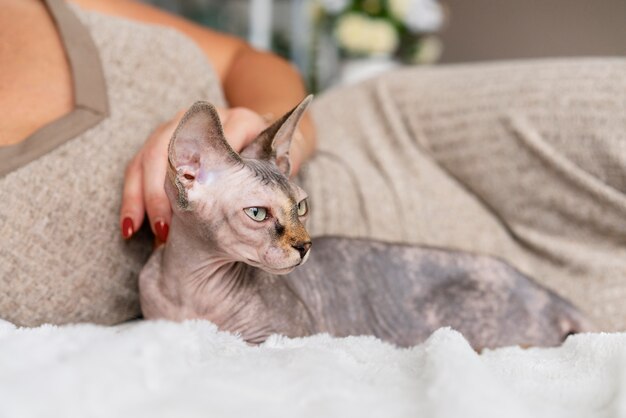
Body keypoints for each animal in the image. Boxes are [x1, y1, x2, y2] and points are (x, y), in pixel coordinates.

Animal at [139, 95, 592, 350]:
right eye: (257, 214)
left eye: (301, 207)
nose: (305, 246)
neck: (190, 289)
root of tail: (550, 294)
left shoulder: (279, 336)